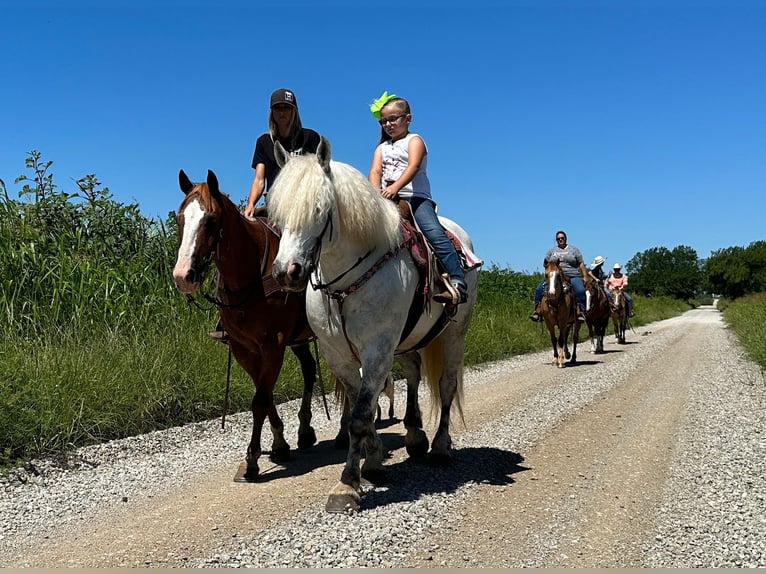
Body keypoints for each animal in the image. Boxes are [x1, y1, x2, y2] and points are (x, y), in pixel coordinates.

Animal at [173, 170, 318, 482]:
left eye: (210, 220)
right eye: (180, 218)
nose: (183, 276)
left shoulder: (274, 345)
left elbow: (260, 399)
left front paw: (252, 459)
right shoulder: (244, 348)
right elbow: (265, 393)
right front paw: (279, 444)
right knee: (310, 370)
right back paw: (305, 431)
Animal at [270, 137, 480, 516]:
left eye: (320, 209)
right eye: (276, 213)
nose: (286, 272)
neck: (346, 281)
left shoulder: (377, 349)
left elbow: (360, 415)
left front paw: (347, 483)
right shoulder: (338, 356)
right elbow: (361, 410)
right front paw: (374, 463)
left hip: (454, 334)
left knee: (446, 385)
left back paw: (440, 447)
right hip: (407, 340)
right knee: (412, 373)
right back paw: (415, 436)